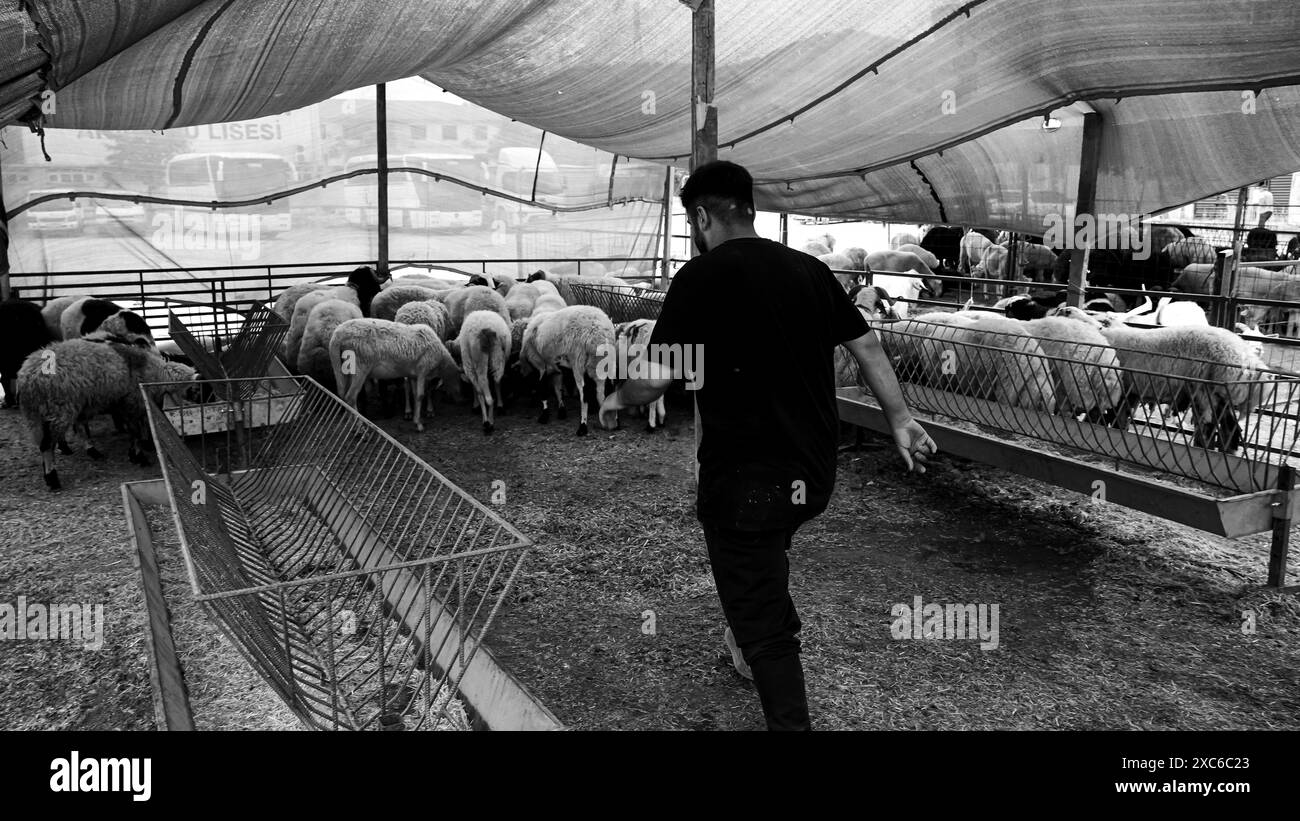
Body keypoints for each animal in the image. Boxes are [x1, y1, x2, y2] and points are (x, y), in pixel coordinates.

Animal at [17, 337, 193, 491]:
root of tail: (27, 378)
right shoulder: (131, 403)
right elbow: (135, 432)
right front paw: (138, 456)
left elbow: (138, 429)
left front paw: (139, 450)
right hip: (58, 408)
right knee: (47, 445)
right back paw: (52, 478)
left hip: (46, 413)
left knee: (66, 433)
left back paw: (89, 452)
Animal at [520, 305, 616, 436]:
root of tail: (600, 333)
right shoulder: (556, 368)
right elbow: (558, 389)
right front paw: (561, 410)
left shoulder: (541, 365)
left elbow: (543, 389)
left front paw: (544, 415)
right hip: (604, 367)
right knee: (607, 391)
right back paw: (609, 421)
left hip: (578, 364)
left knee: (584, 396)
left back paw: (583, 427)